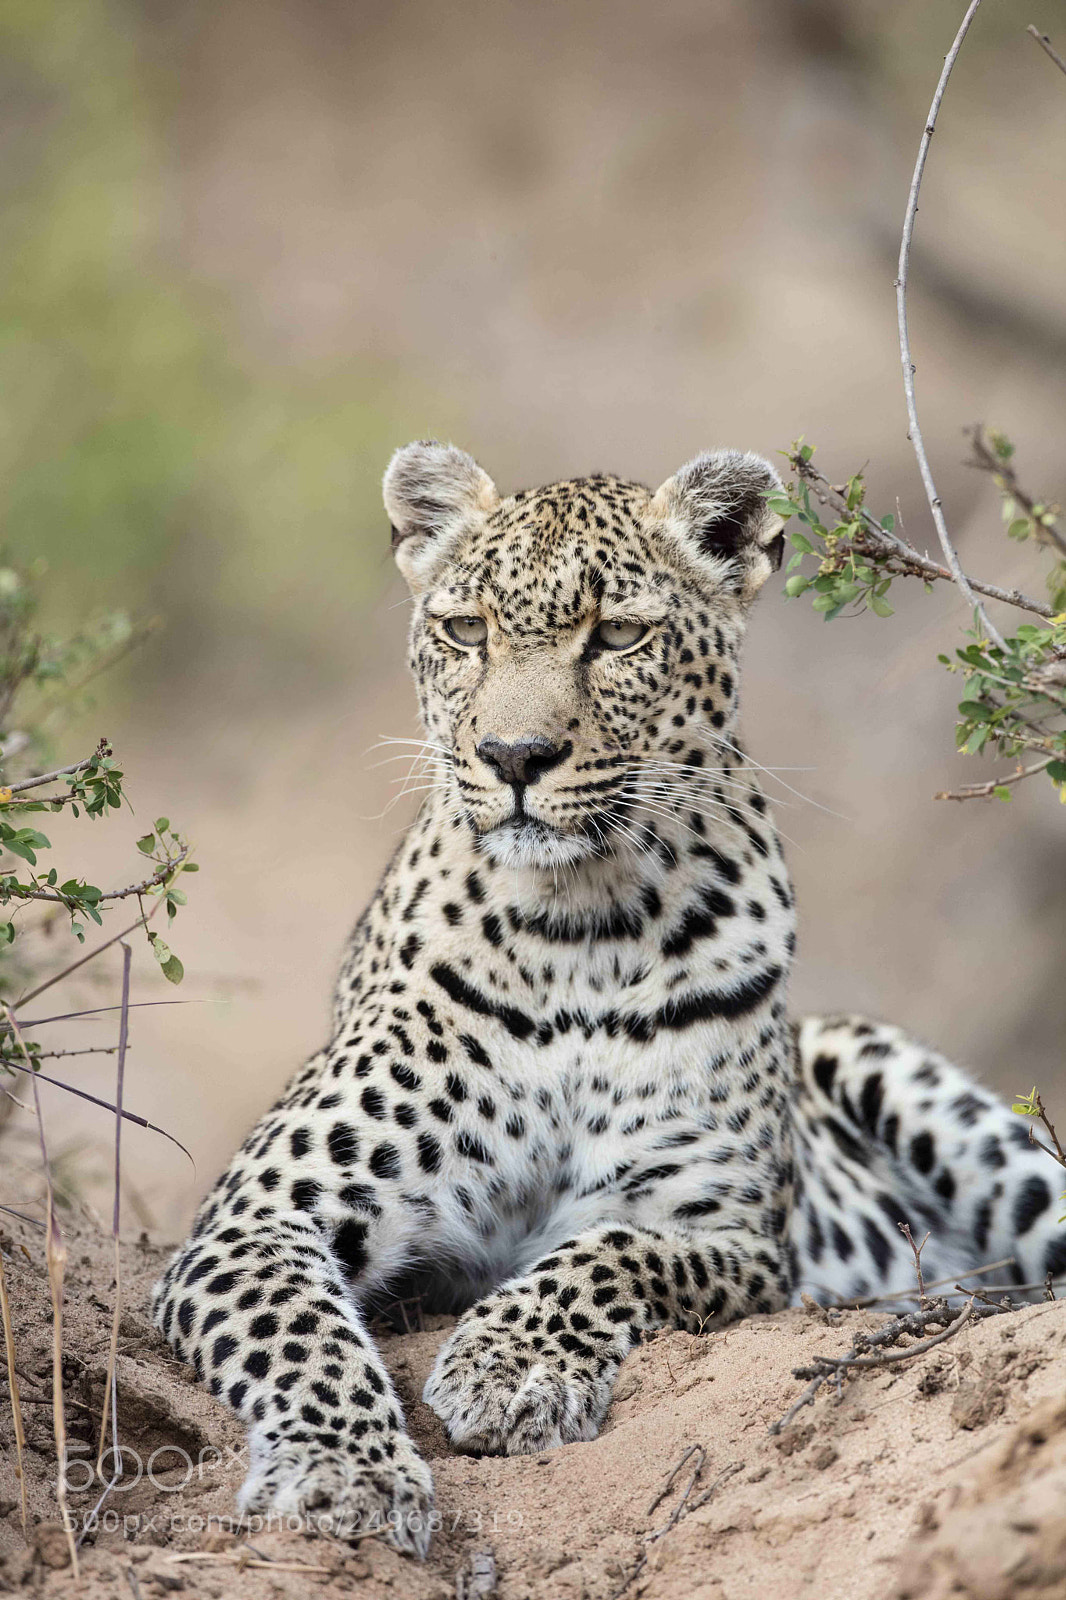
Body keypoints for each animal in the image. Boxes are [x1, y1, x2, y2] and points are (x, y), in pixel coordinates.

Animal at [154, 440, 1066, 1557]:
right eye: (466, 631)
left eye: (618, 636)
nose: (513, 757)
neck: (576, 930)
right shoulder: (258, 1217)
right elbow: (302, 1333)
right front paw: (343, 1473)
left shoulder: (730, 1236)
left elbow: (606, 1250)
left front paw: (507, 1367)